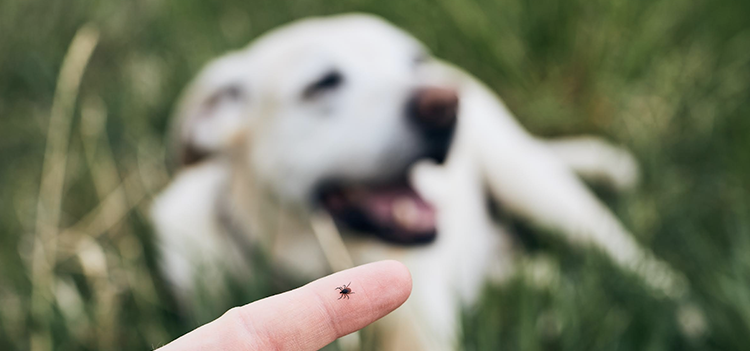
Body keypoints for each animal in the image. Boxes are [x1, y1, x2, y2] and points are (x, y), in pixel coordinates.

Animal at [151, 13, 688, 351]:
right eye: (322, 84)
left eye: (414, 61)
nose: (445, 103)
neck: (308, 257)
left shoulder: (419, 326)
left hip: (533, 184)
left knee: (632, 260)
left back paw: (685, 312)